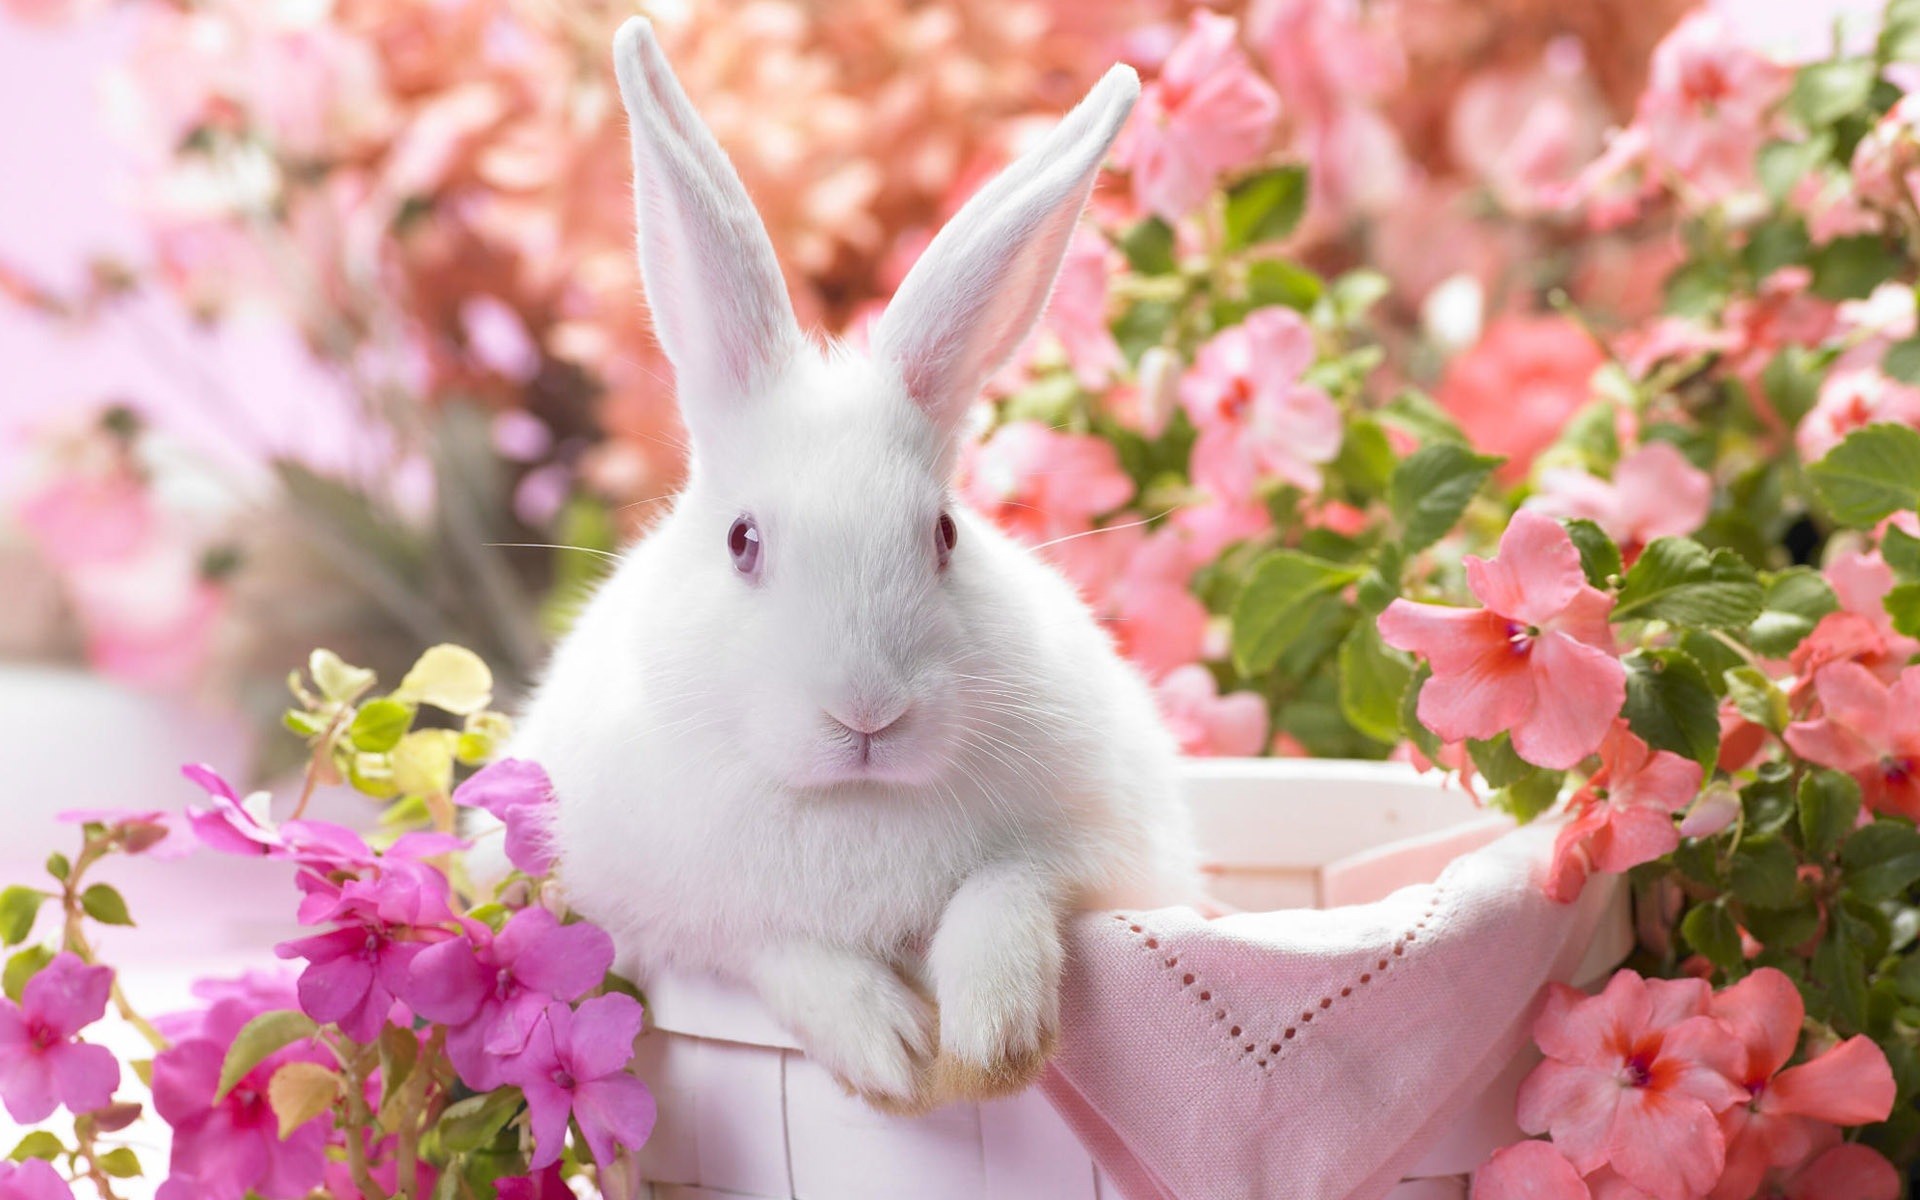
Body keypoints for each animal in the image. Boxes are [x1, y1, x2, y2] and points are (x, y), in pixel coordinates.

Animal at [507, 16, 1201, 1114]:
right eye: (742, 541)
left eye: (946, 533)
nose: (868, 712)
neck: (856, 803)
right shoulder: (667, 916)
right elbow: (779, 948)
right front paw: (893, 1051)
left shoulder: (1105, 849)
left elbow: (1011, 886)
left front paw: (993, 1037)